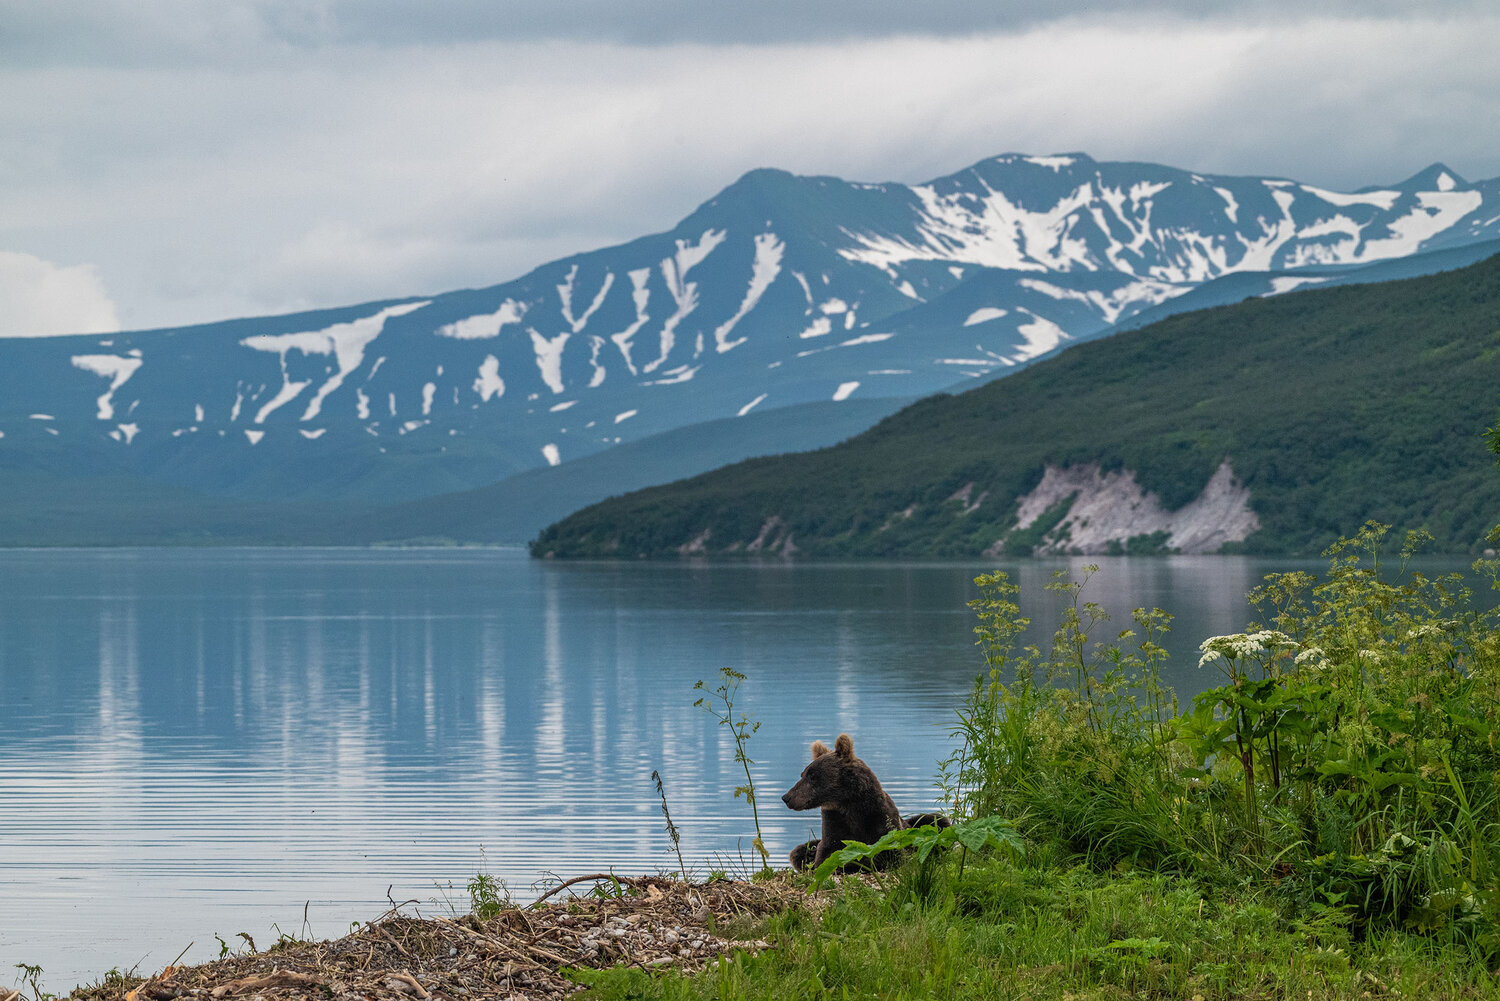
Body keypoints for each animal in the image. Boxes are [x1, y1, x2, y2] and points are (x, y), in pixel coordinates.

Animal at [781, 732, 950, 872]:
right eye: (803, 774)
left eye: (812, 776)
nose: (786, 797)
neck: (849, 805)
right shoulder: (834, 823)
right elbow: (826, 856)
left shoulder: (881, 822)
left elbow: (888, 852)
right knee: (798, 850)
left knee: (936, 820)